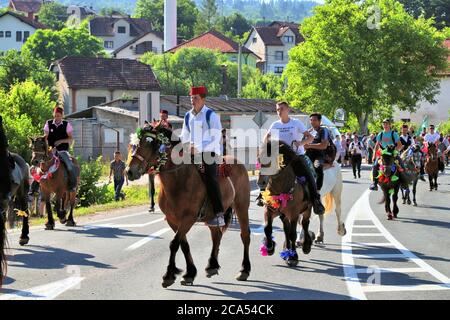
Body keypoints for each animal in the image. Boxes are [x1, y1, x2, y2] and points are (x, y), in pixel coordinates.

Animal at [126, 125, 251, 288]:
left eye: (150, 143)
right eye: (134, 144)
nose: (129, 171)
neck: (178, 180)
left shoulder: (188, 218)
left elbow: (174, 243)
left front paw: (169, 275)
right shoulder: (173, 220)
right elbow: (183, 244)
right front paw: (190, 273)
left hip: (242, 207)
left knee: (245, 236)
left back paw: (244, 270)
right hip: (211, 216)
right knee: (216, 235)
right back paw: (212, 266)